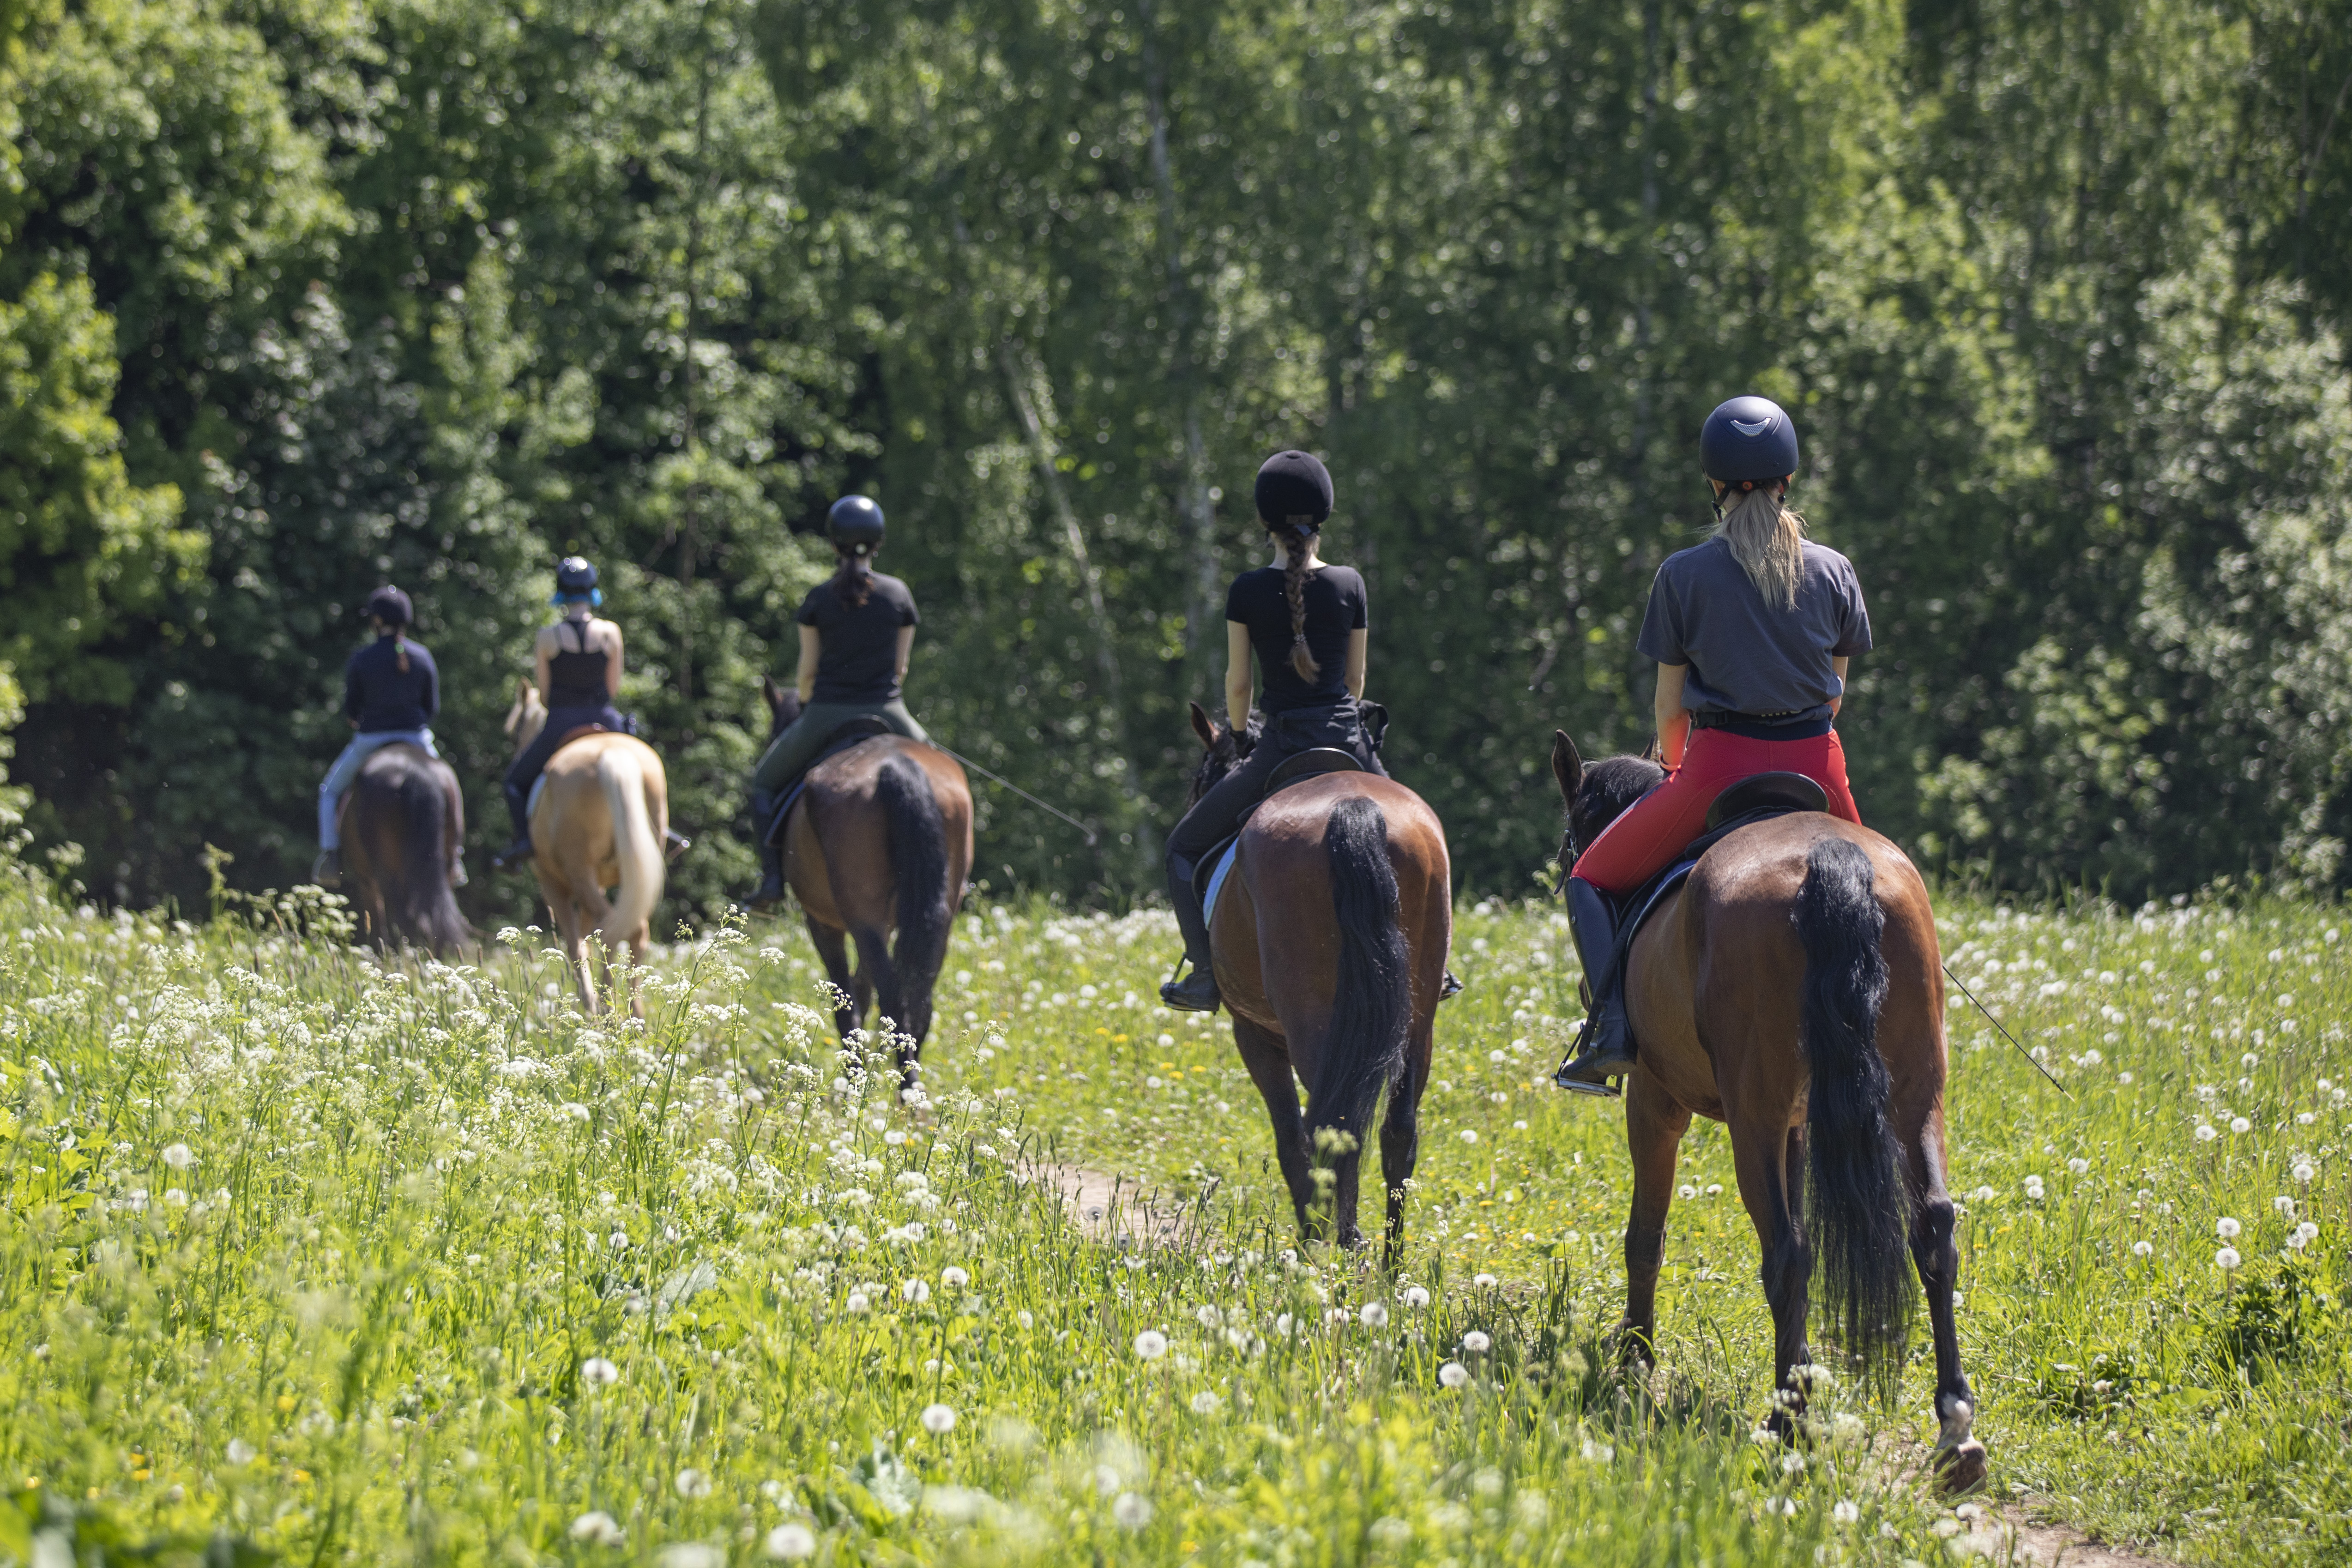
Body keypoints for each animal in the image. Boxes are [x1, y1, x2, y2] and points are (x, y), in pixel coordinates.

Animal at [338, 748, 470, 959]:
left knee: (401, 909)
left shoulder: (365, 879)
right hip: (447, 861)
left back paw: (404, 953)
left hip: (383, 866)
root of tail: (413, 768)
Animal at [503, 686, 672, 1020]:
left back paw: (608, 1011)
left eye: (516, 731)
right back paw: (634, 1016)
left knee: (608, 933)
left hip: (578, 873)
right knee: (634, 933)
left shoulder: (554, 884)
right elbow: (586, 940)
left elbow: (576, 946)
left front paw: (589, 1002)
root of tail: (613, 754)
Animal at [757, 681, 969, 1086]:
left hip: (858, 919)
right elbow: (863, 991)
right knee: (917, 1003)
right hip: (937, 914)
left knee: (891, 1001)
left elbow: (848, 1003)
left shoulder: (824, 923)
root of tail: (896, 766)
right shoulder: (883, 925)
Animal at [1176, 705, 1448, 1260]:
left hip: (1310, 1022)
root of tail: (1354, 807)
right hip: (1417, 1024)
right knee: (1396, 1131)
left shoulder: (1253, 1033)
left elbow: (1289, 1135)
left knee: (1333, 1125)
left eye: (1201, 779)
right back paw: (1389, 1262)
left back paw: (1332, 1240)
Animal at [1562, 729, 1985, 1495]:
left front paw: (1634, 1356)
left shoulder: (1656, 1103)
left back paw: (1786, 1423)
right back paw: (1953, 1431)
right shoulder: (1793, 1124)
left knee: (1784, 1253)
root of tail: (1830, 861)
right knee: (1932, 1231)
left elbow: (1645, 1238)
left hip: (1750, 1112)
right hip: (1913, 1096)